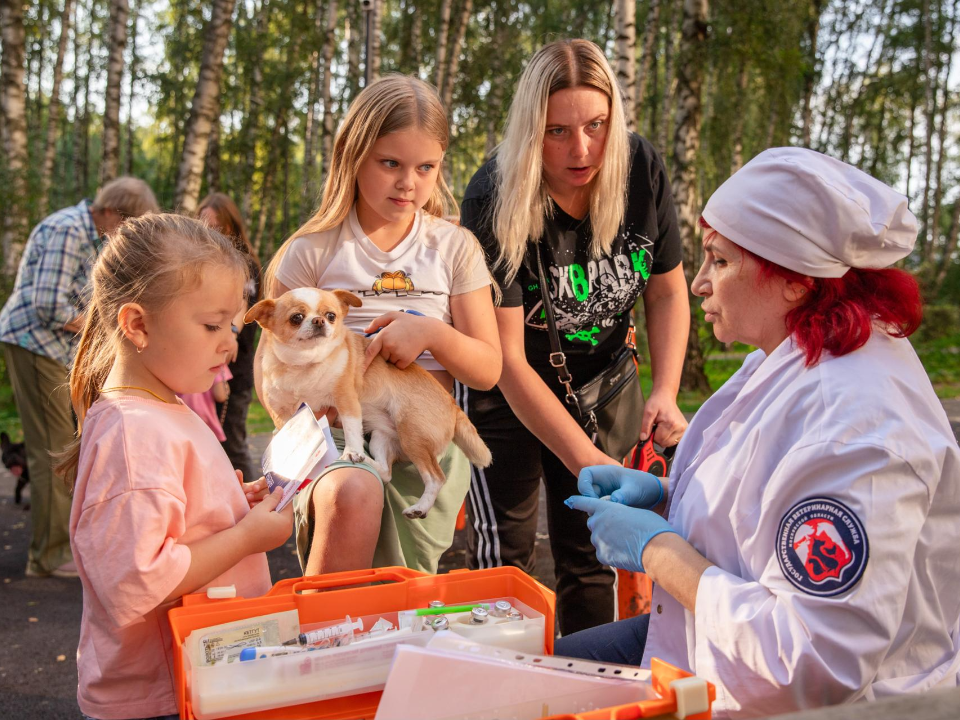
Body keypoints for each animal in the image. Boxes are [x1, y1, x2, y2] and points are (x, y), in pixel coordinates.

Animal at [248, 286, 492, 516]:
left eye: (331, 316)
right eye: (296, 318)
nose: (319, 320)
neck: (305, 364)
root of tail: (453, 405)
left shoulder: (346, 400)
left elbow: (351, 430)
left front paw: (351, 451)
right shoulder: (283, 414)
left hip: (412, 434)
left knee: (435, 477)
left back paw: (419, 507)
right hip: (380, 437)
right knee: (385, 471)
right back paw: (367, 461)